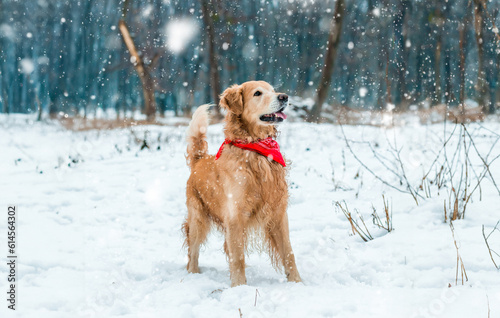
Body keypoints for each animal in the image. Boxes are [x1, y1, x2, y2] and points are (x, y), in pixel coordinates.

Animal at [184, 80, 300, 286]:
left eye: (273, 90)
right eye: (257, 93)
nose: (284, 97)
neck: (255, 149)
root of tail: (200, 159)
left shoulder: (278, 212)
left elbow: (288, 253)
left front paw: (297, 283)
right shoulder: (235, 215)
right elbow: (238, 258)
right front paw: (239, 287)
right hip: (198, 218)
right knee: (193, 251)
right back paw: (193, 275)